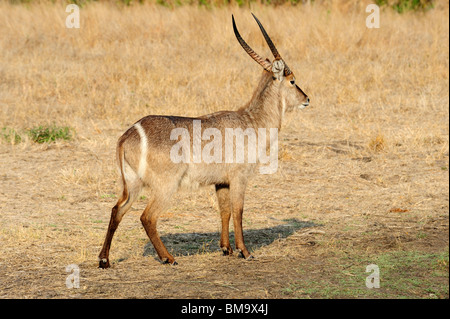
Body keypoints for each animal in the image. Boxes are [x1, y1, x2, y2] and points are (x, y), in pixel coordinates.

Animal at [98, 13, 310, 268]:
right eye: (292, 80)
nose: (307, 99)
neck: (251, 121)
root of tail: (128, 134)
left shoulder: (221, 182)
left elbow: (224, 211)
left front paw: (226, 248)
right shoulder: (239, 177)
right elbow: (238, 211)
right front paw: (245, 251)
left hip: (132, 184)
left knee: (116, 210)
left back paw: (104, 260)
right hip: (165, 186)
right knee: (147, 217)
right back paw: (168, 258)